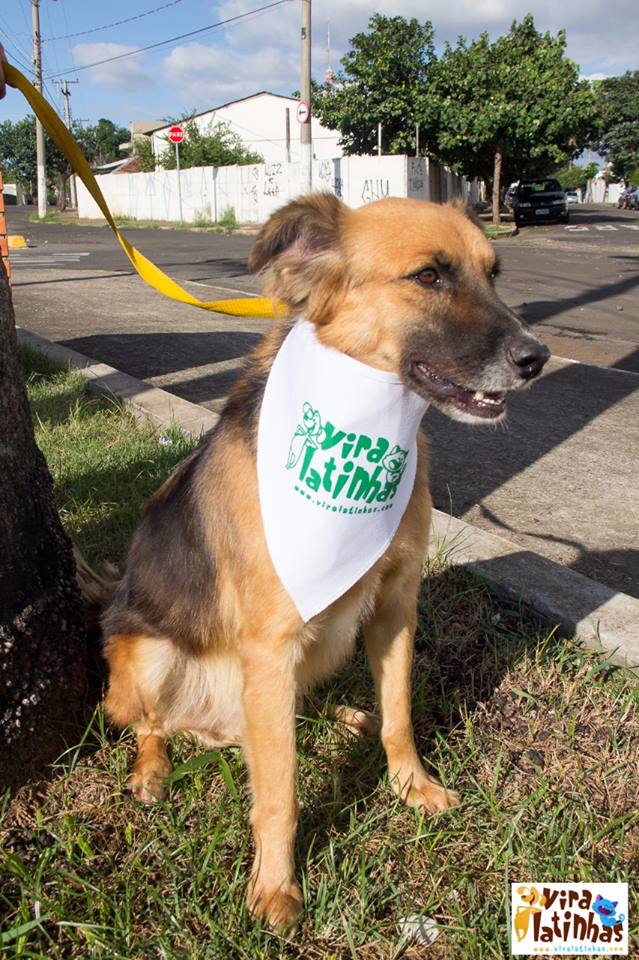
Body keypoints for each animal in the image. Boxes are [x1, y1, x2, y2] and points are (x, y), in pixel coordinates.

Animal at [99, 194, 549, 931]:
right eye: (428, 276)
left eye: (494, 273)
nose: (536, 358)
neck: (364, 422)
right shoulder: (270, 644)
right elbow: (279, 792)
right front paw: (276, 886)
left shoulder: (395, 606)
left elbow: (399, 713)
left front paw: (410, 783)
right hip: (148, 651)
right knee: (150, 724)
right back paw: (152, 768)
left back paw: (345, 716)